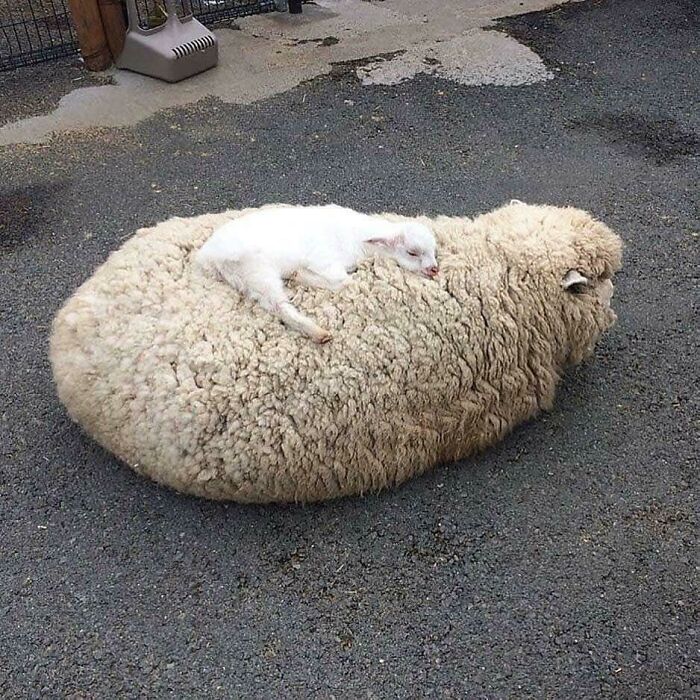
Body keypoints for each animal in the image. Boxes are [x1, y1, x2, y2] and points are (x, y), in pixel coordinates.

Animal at [49, 201, 623, 503]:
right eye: (601, 280)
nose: (434, 269)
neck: (499, 270)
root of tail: (68, 319)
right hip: (258, 273)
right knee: (280, 300)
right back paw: (316, 325)